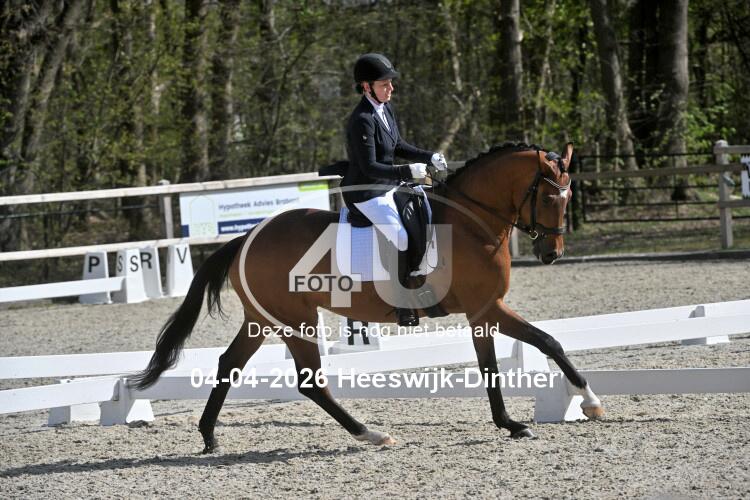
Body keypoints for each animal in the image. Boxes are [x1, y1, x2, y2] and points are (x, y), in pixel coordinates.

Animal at [130, 142, 604, 453]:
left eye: (568, 196)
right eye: (549, 195)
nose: (552, 254)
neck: (474, 223)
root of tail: (248, 237)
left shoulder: (482, 312)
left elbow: (524, 353)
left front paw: (536, 416)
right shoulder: (486, 308)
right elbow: (530, 350)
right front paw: (578, 406)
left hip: (263, 320)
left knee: (230, 364)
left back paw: (209, 436)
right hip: (295, 319)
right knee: (310, 382)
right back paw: (371, 434)